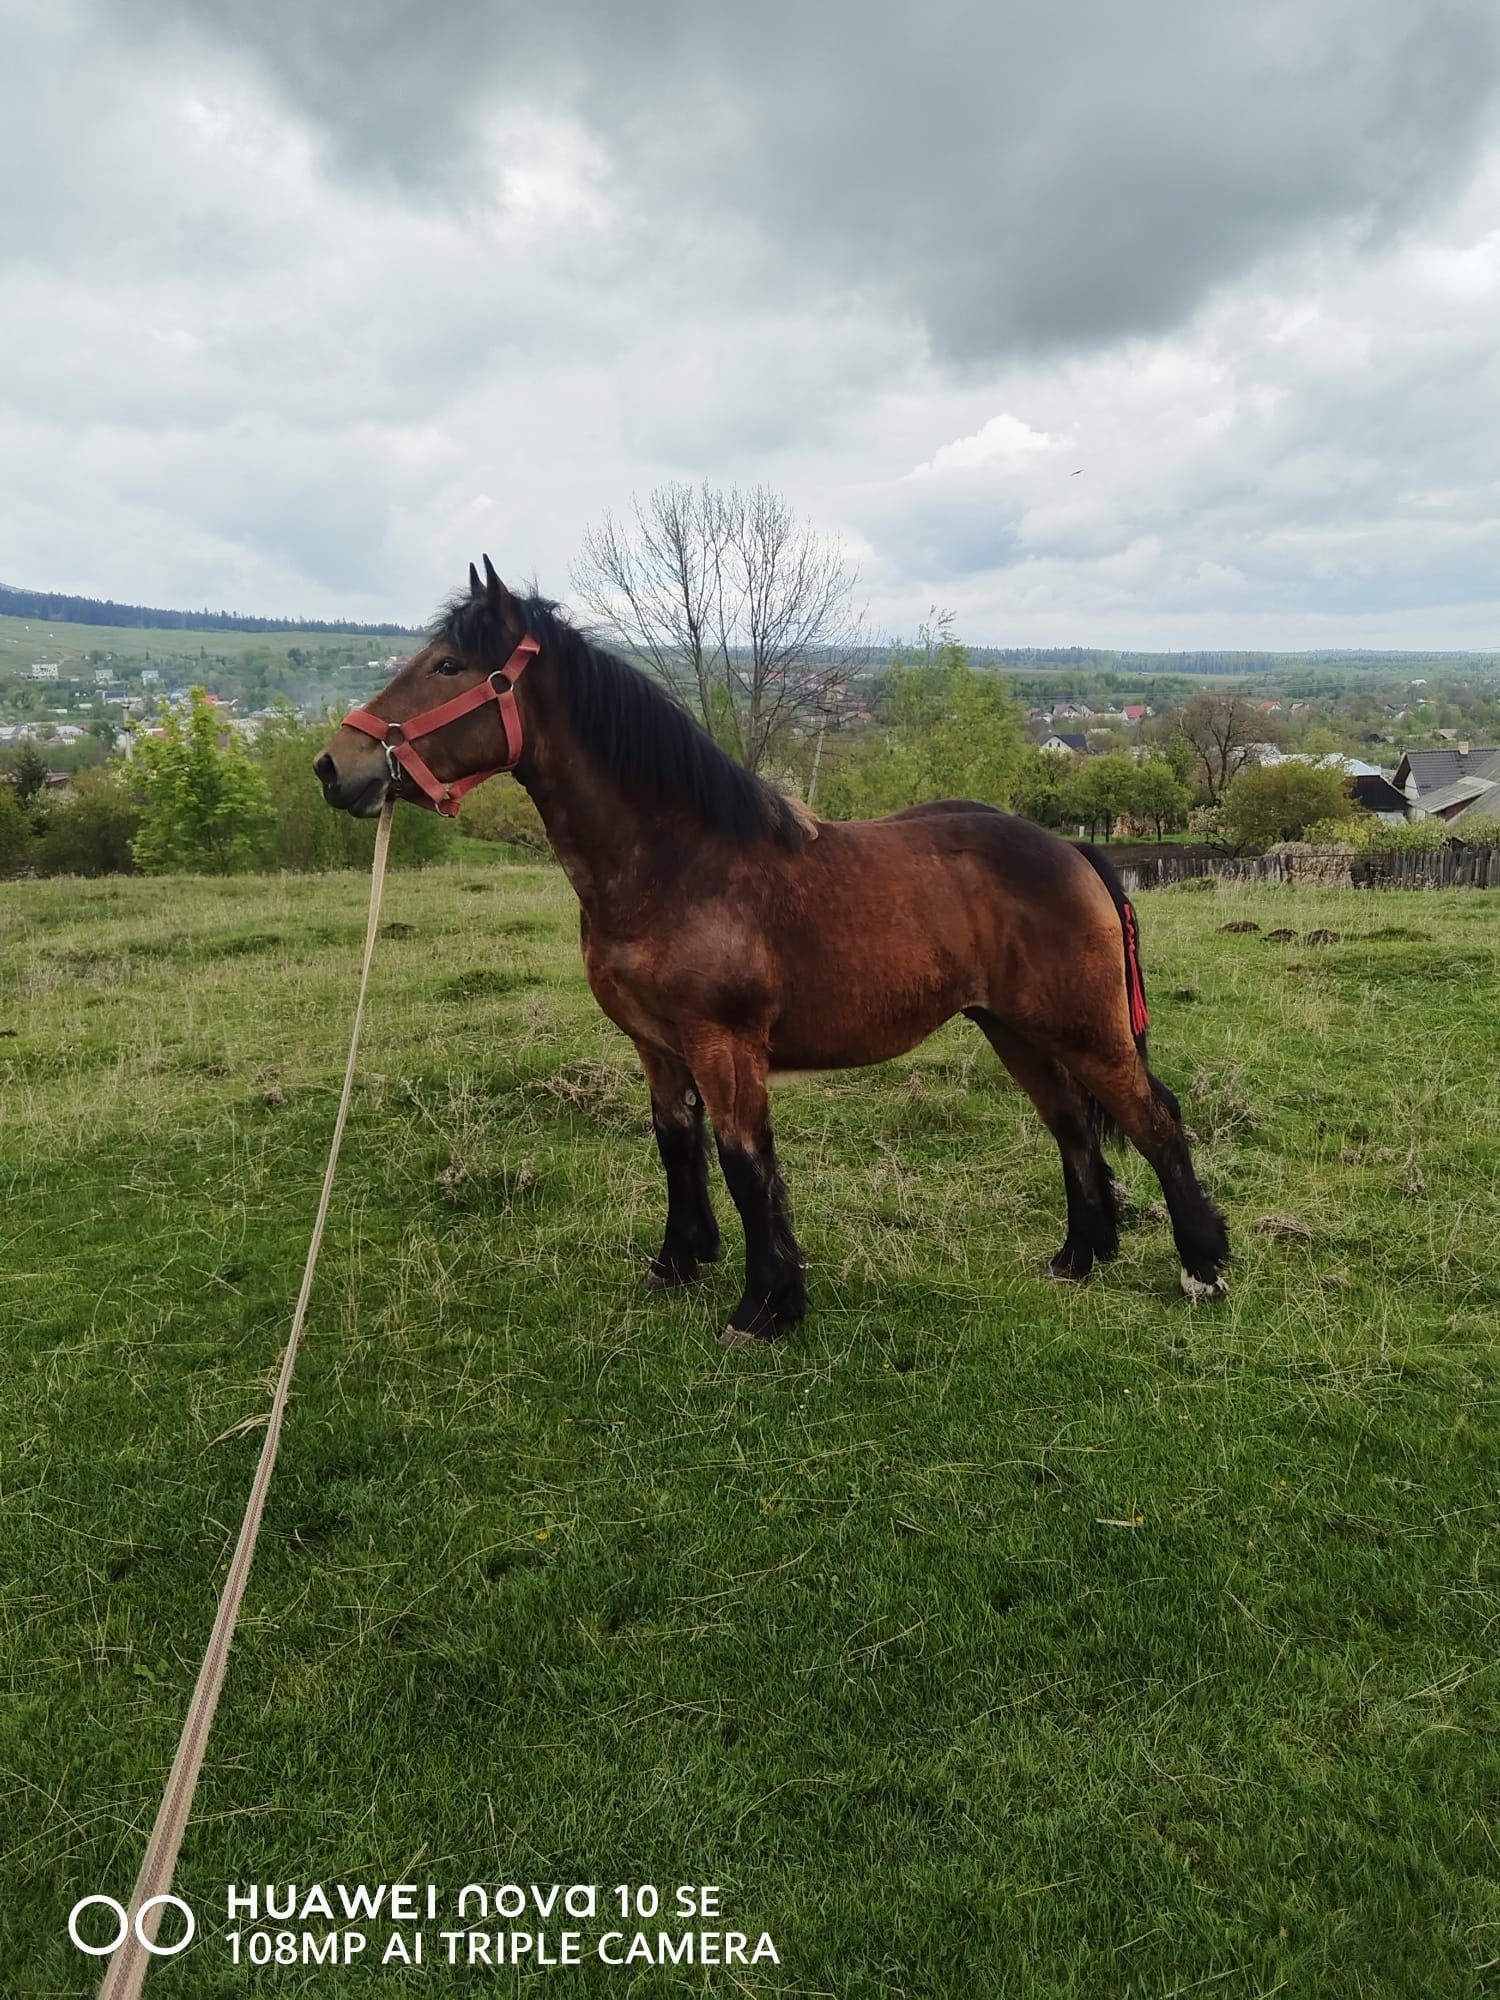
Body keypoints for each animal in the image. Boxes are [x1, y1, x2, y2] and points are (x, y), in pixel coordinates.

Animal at [318, 560, 1232, 1344]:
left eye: (448, 665)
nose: (335, 765)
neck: (677, 861)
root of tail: (1072, 850)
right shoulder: (657, 1046)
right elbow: (676, 1145)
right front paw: (678, 1262)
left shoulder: (725, 1046)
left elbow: (744, 1161)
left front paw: (765, 1305)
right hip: (1015, 1030)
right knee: (1072, 1126)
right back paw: (1078, 1257)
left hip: (1085, 1030)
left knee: (1156, 1122)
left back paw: (1203, 1267)